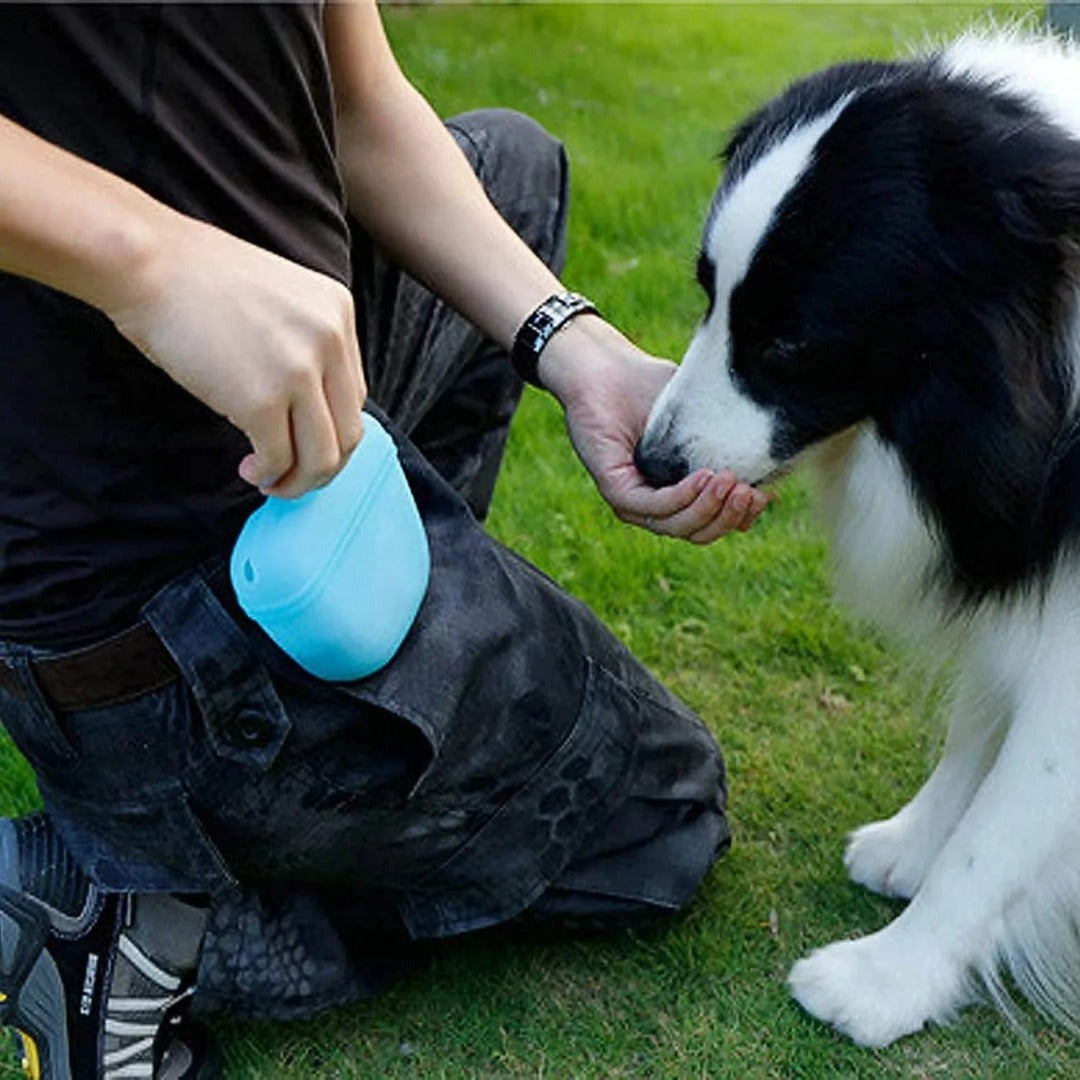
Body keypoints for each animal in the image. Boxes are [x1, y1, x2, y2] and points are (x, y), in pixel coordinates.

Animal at [635, 29, 1080, 1045]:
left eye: (790, 344)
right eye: (706, 295)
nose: (652, 461)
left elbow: (1007, 821)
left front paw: (889, 979)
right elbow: (978, 724)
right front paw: (915, 845)